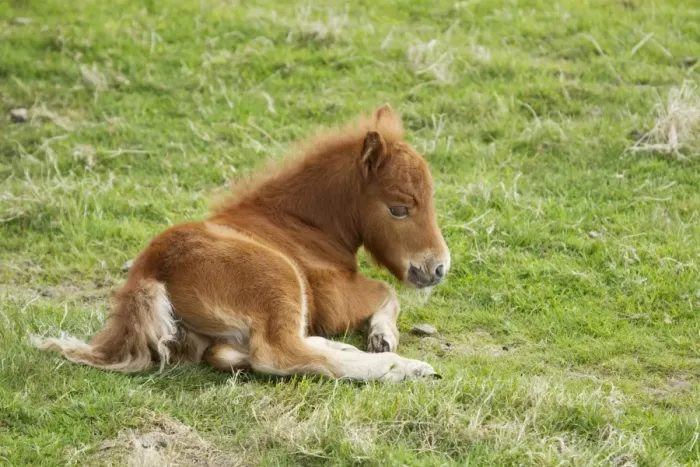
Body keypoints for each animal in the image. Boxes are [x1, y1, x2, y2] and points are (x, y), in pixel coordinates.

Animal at [34, 104, 451, 382]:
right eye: (399, 209)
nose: (438, 268)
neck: (299, 223)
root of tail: (150, 272)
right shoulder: (336, 299)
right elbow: (386, 291)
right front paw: (385, 340)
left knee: (233, 351)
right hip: (280, 280)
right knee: (277, 353)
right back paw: (405, 369)